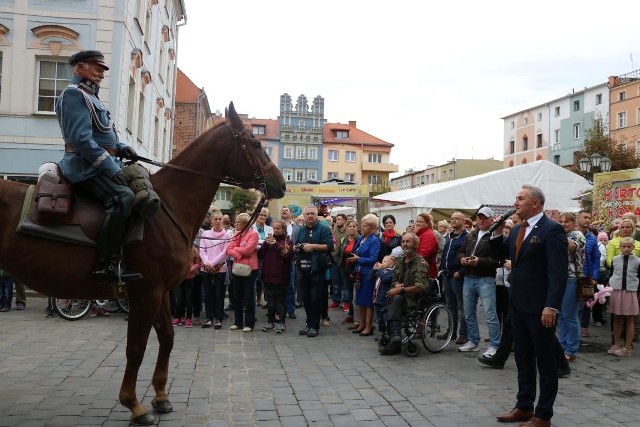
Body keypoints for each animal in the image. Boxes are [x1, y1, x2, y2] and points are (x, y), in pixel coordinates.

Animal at [0, 103, 284, 424]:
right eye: (255, 143)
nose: (281, 183)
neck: (168, 207)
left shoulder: (160, 292)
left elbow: (167, 337)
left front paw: (160, 396)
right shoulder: (146, 292)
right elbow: (136, 347)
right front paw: (134, 405)